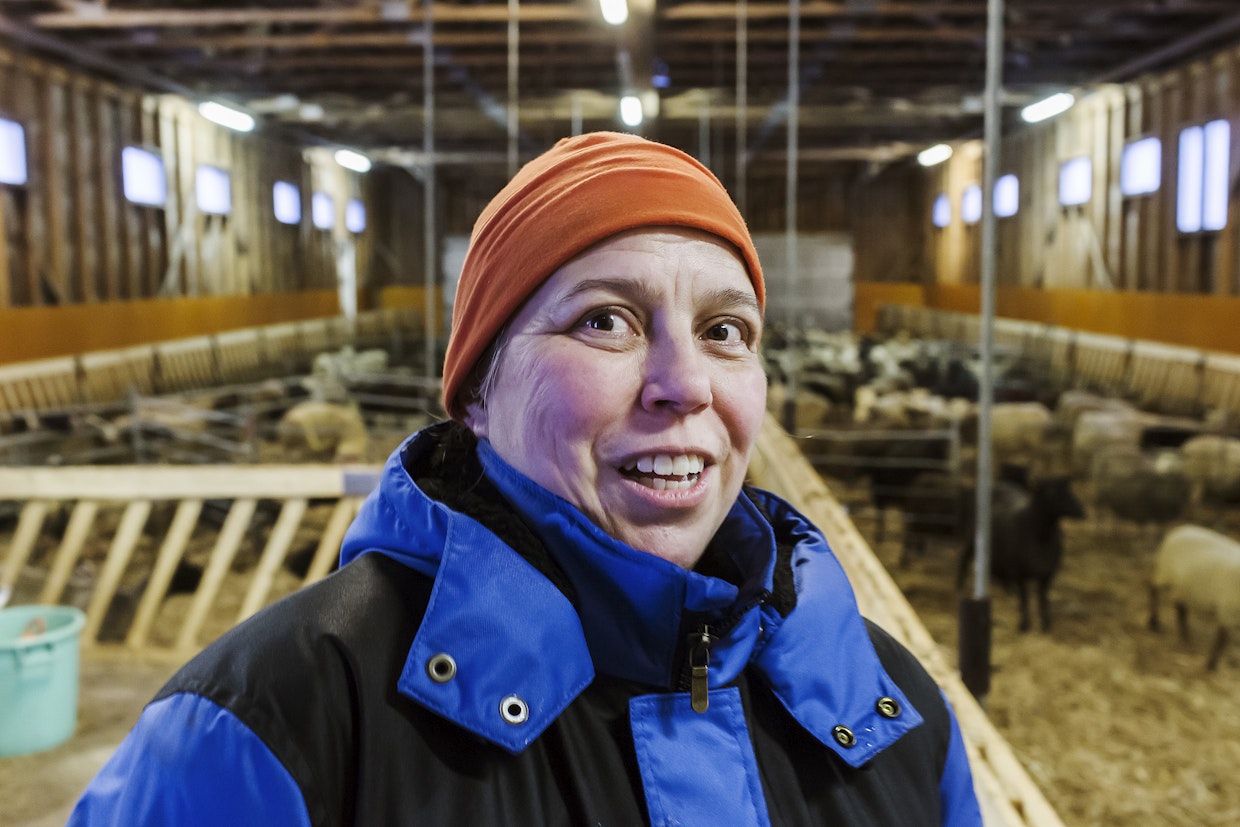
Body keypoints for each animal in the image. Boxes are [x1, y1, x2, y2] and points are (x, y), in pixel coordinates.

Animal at [1149, 524, 1240, 670]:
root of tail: (1177, 531)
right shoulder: (1227, 611)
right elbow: (1222, 639)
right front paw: (1211, 665)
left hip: (1183, 586)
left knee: (1180, 607)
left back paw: (1185, 637)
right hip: (1165, 572)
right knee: (1153, 589)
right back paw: (1153, 622)